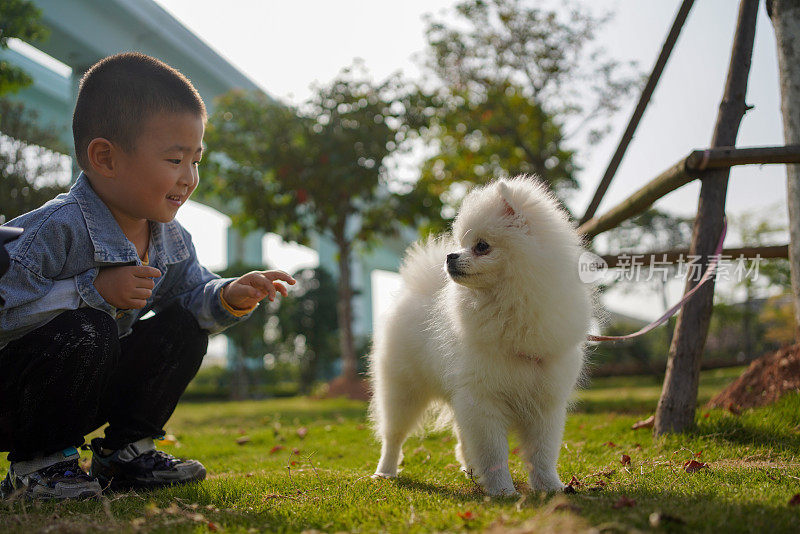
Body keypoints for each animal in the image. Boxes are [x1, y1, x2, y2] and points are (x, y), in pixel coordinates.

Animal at [372, 177, 592, 498]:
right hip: (403, 390)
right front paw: (503, 491)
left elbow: (542, 453)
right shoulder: (483, 399)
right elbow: (494, 452)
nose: (450, 256)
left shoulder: (545, 403)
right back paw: (385, 471)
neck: (510, 308)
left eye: (481, 246)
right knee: (394, 435)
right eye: (462, 244)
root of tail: (417, 289)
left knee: (462, 437)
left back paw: (470, 470)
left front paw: (551, 487)